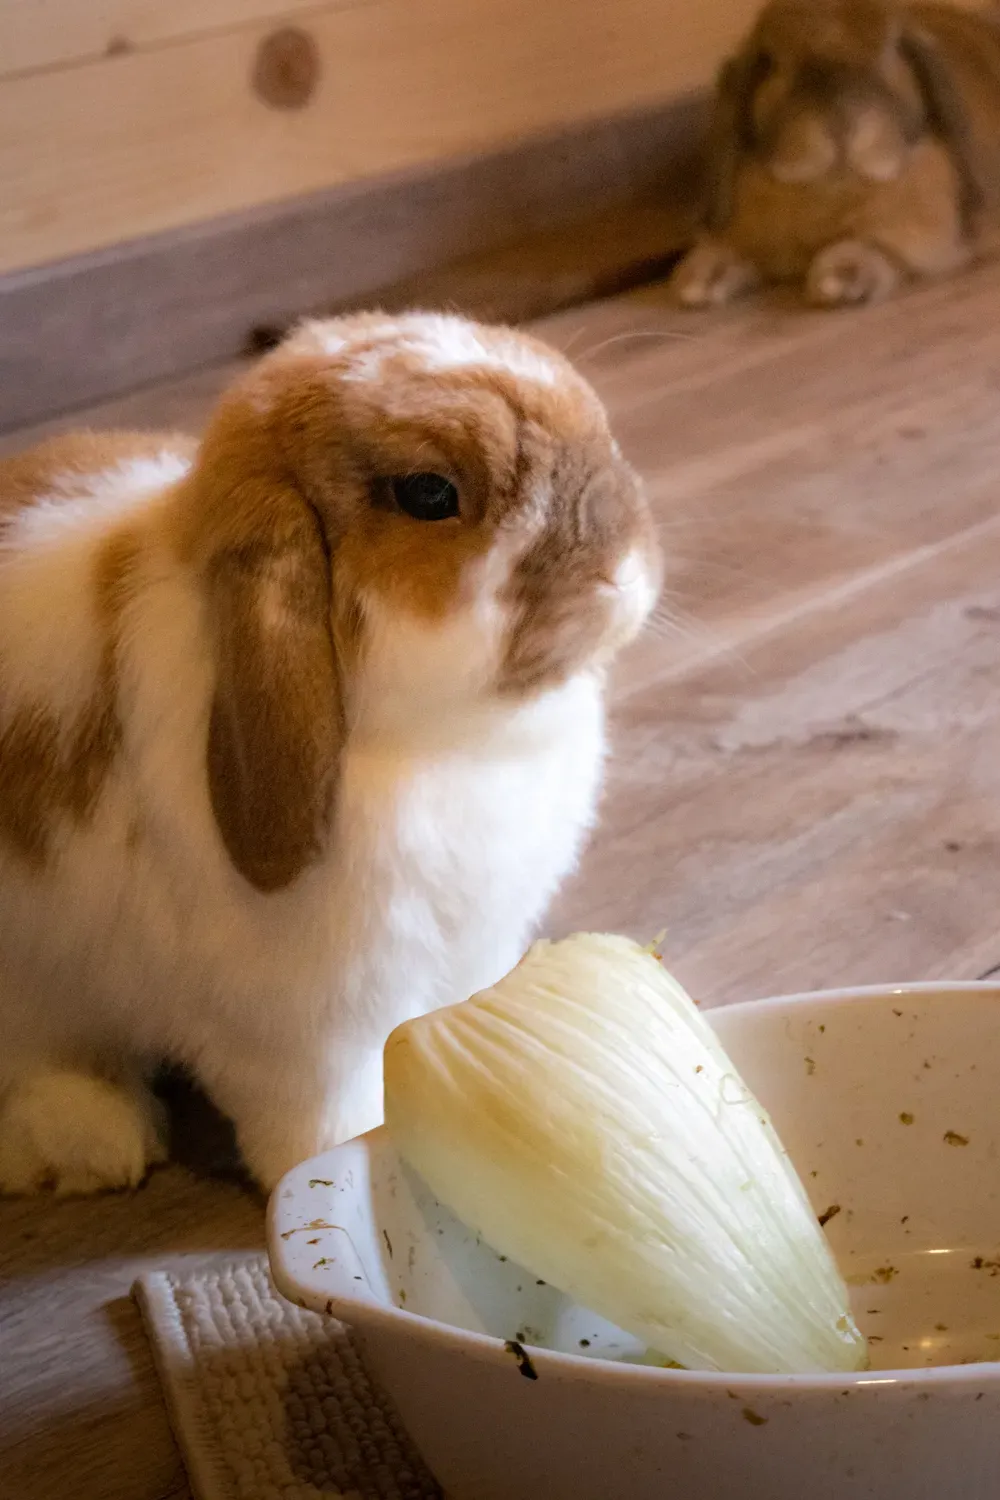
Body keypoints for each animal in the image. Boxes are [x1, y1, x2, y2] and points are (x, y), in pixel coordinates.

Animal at [0, 311, 661, 1196]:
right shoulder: (300, 1031)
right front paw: (345, 1168)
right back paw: (94, 1139)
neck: (451, 745)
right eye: (428, 494)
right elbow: (319, 1117)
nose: (626, 566)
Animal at [670, 0, 1000, 309]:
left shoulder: (922, 233)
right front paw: (700, 278)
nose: (840, 122)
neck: (830, 191)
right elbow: (735, 249)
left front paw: (842, 277)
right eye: (774, 62)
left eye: (891, 50)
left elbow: (883, 247)